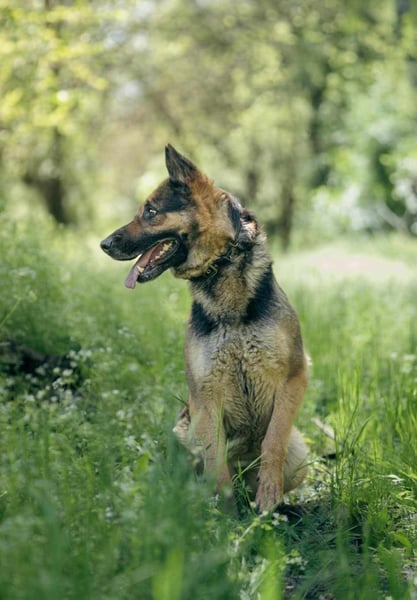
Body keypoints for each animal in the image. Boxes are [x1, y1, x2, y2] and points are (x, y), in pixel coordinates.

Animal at [101, 144, 308, 512]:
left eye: (150, 212)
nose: (104, 244)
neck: (221, 269)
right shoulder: (204, 396)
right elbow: (215, 461)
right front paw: (225, 514)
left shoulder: (295, 377)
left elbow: (273, 443)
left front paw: (268, 497)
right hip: (184, 429)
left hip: (299, 452)